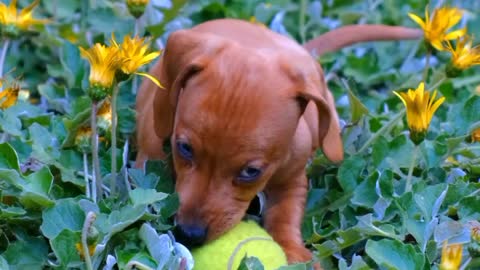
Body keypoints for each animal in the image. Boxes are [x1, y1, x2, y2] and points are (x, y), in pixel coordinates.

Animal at [135, 20, 420, 264]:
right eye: (184, 148)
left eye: (251, 172)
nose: (188, 234)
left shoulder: (293, 180)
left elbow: (285, 213)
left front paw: (293, 251)